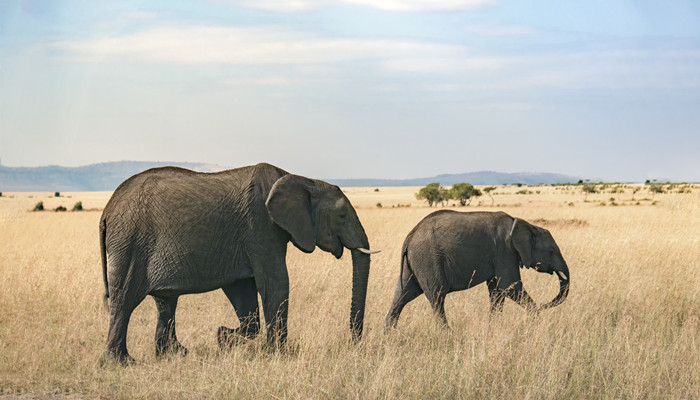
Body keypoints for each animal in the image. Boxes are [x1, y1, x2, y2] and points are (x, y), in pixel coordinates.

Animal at [98, 162, 378, 362]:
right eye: (341, 216)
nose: (353, 343)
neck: (301, 179)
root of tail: (107, 211)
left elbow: (243, 290)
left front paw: (223, 337)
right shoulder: (260, 225)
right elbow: (275, 283)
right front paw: (279, 355)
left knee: (165, 301)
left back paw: (174, 355)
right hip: (130, 242)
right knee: (124, 300)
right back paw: (121, 362)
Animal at [386, 209, 572, 328]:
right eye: (551, 251)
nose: (544, 305)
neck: (523, 224)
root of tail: (409, 238)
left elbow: (497, 291)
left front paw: (494, 327)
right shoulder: (505, 251)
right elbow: (509, 286)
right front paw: (536, 320)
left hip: (414, 263)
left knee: (402, 295)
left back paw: (389, 335)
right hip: (428, 259)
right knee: (437, 297)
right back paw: (447, 334)